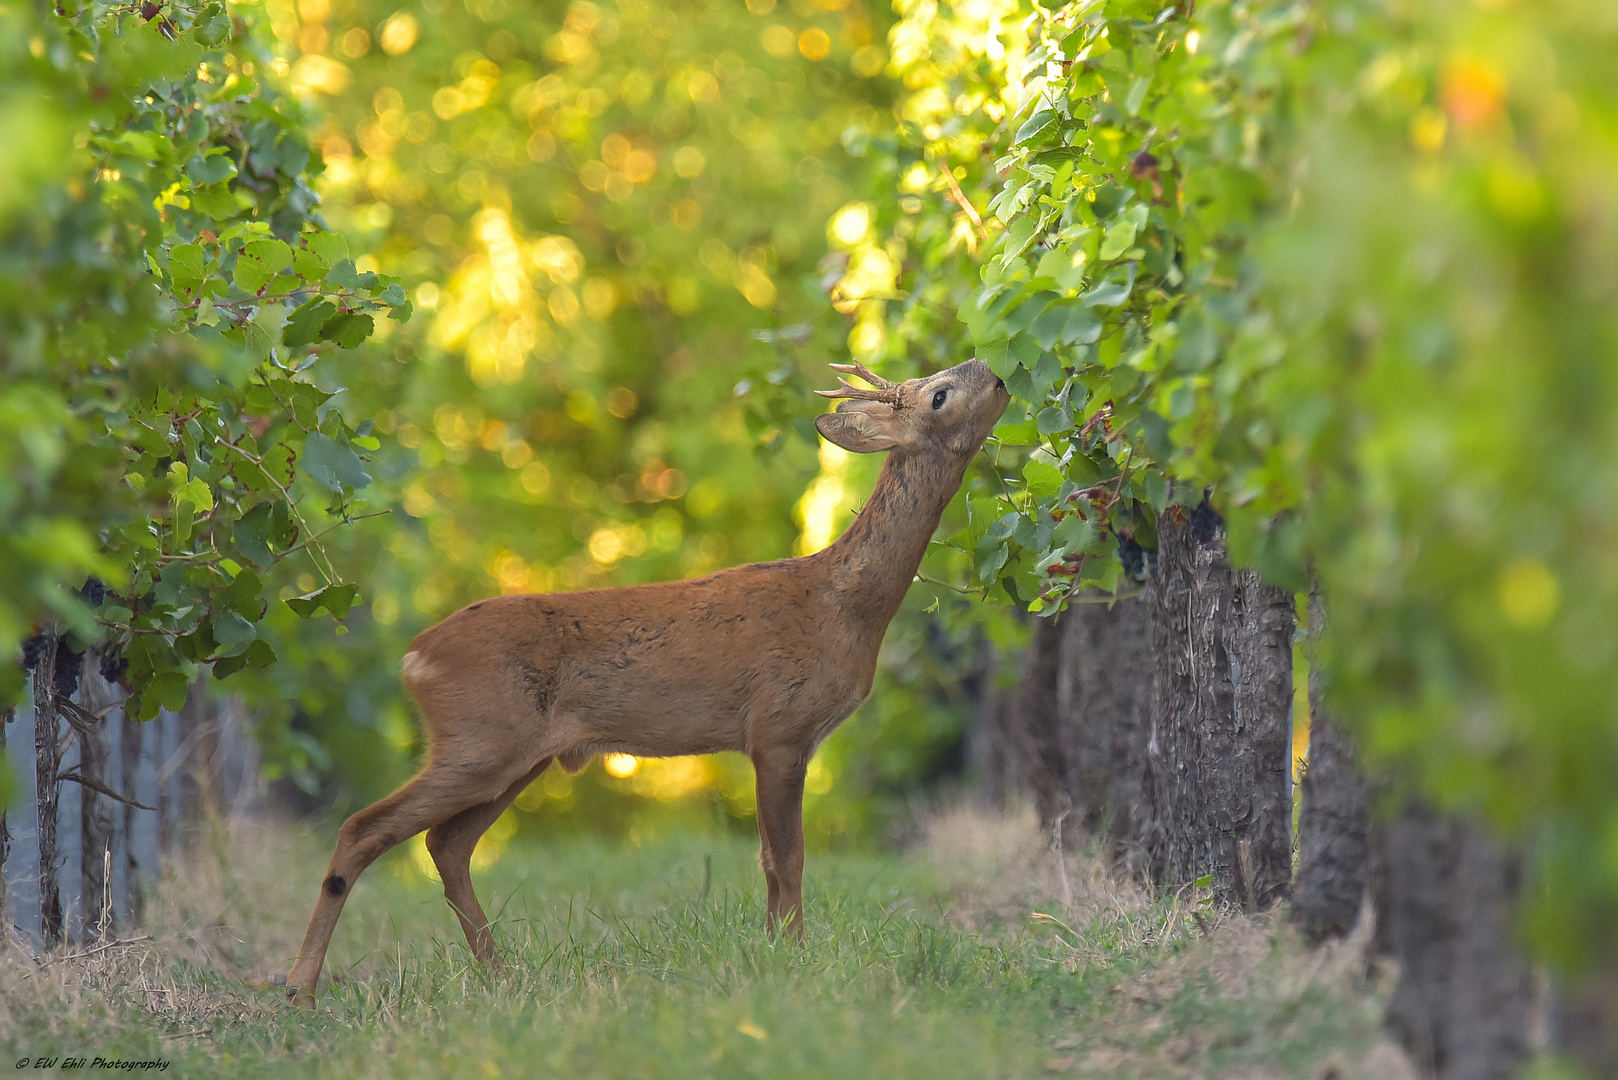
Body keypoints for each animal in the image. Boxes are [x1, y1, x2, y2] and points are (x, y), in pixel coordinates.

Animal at [284, 356, 1003, 1003]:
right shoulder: (779, 727)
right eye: (940, 394)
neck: (843, 605)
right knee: (364, 827)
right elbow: (787, 859)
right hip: (479, 739)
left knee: (448, 843)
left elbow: (769, 862)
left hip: (517, 756)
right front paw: (794, 959)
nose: (995, 374)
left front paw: (775, 953)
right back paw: (300, 990)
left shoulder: (773, 738)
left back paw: (502, 976)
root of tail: (414, 658)